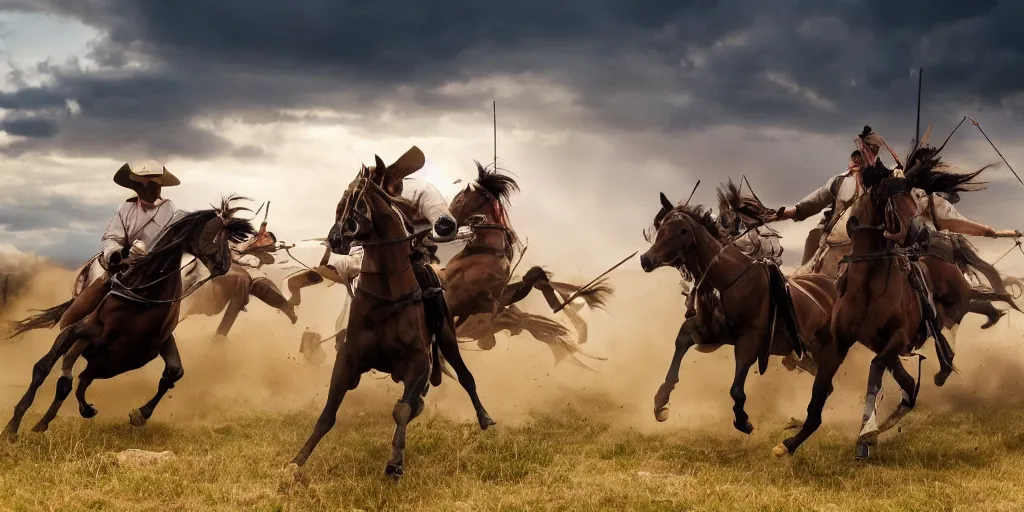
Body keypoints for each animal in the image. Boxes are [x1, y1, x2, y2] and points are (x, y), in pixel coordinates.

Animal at [3, 194, 254, 436]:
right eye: (217, 233)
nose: (225, 265)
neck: (144, 292)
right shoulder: (79, 331)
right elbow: (43, 368)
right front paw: (12, 425)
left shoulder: (153, 345)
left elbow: (174, 372)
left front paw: (140, 414)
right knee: (66, 377)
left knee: (73, 380)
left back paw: (59, 417)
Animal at [288, 153, 495, 477]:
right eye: (340, 200)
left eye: (355, 201)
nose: (334, 240)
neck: (386, 298)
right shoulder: (347, 360)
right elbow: (327, 415)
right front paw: (297, 461)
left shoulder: (419, 364)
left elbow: (401, 409)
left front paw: (396, 460)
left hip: (447, 338)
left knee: (465, 377)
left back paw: (484, 417)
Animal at [444, 161, 610, 362]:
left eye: (459, 200)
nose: (442, 222)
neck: (487, 251)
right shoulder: (467, 301)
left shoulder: (486, 301)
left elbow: (532, 277)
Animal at [638, 191, 839, 436]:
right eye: (662, 227)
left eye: (682, 230)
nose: (646, 259)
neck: (729, 278)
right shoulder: (709, 332)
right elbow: (681, 341)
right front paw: (661, 402)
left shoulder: (749, 341)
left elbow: (736, 389)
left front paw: (743, 420)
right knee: (824, 385)